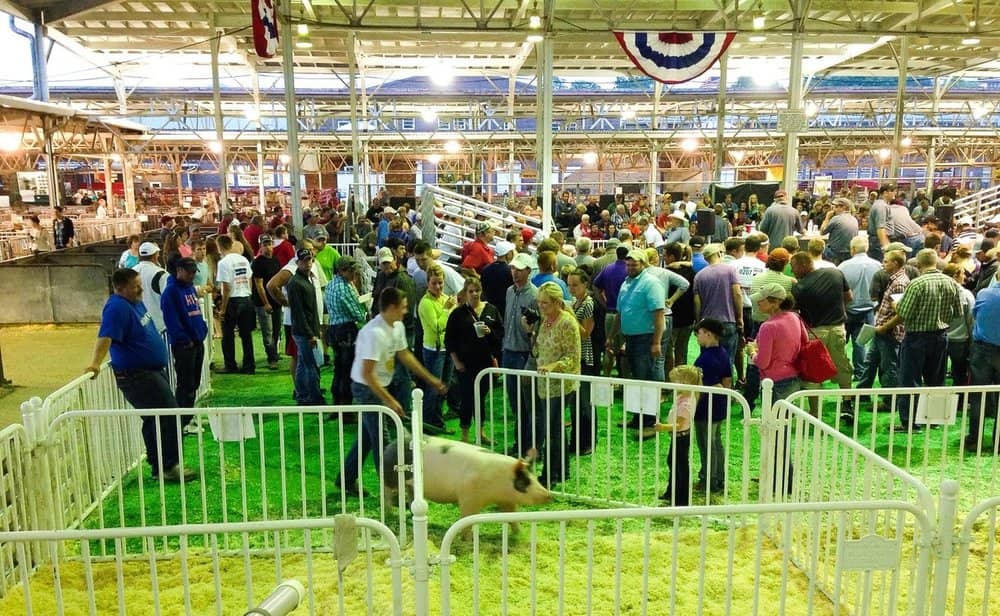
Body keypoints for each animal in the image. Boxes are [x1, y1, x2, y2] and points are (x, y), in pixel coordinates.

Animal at [382, 436, 556, 532]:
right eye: (524, 481)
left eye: (535, 477)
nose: (549, 495)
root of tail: (391, 444)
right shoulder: (468, 497)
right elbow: (466, 519)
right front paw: (466, 540)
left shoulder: (506, 500)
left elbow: (512, 516)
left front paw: (518, 533)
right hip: (390, 478)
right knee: (387, 494)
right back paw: (390, 514)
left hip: (411, 485)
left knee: (411, 497)